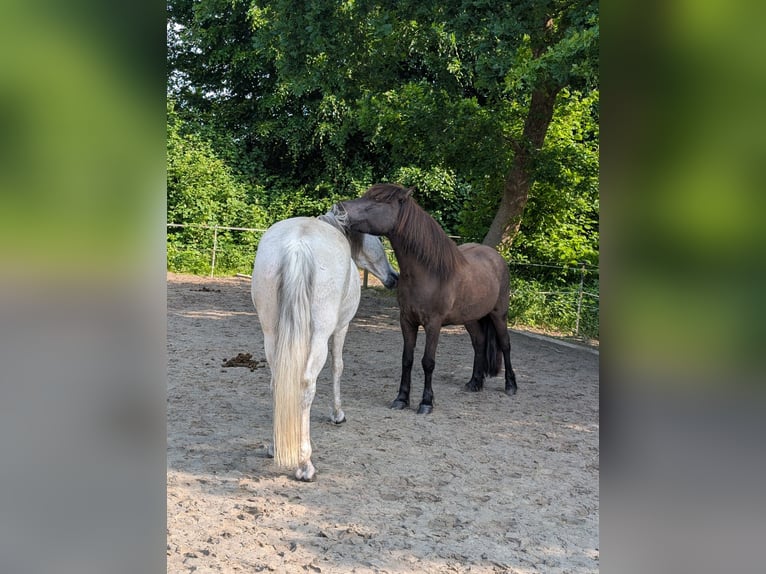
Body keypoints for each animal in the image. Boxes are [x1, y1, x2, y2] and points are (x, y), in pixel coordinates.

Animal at [251, 211, 398, 481]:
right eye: (379, 239)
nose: (394, 278)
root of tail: (297, 245)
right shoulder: (341, 328)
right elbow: (338, 366)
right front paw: (337, 414)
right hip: (318, 338)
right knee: (305, 386)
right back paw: (304, 465)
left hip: (271, 334)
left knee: (278, 382)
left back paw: (276, 446)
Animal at [335, 183, 517, 414]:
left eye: (378, 201)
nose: (339, 208)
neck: (428, 272)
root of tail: (497, 258)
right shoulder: (407, 321)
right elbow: (407, 359)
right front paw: (401, 399)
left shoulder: (433, 324)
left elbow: (428, 362)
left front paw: (426, 402)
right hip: (471, 319)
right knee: (479, 343)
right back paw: (474, 383)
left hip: (499, 314)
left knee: (505, 344)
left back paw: (511, 385)